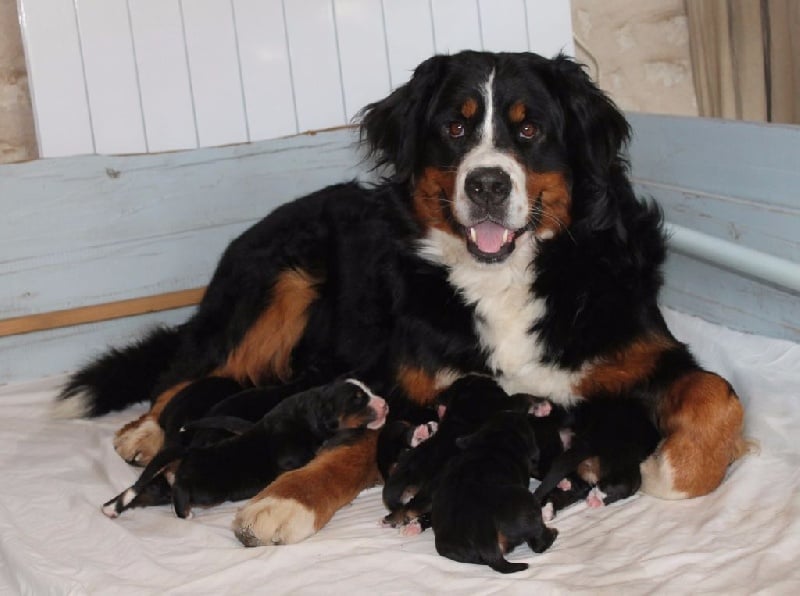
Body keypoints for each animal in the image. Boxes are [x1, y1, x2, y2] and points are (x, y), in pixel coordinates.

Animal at [101, 380, 390, 520]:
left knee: (142, 490)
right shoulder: (293, 455)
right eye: (358, 400)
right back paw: (185, 512)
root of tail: (188, 451)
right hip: (206, 486)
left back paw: (111, 508)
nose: (386, 404)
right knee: (175, 491)